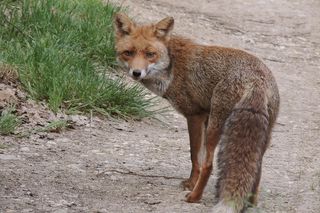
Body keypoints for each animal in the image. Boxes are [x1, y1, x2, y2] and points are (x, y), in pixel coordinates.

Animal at [114, 13, 278, 213]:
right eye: (128, 53)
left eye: (150, 54)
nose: (136, 73)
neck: (172, 65)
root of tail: (256, 80)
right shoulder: (205, 117)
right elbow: (198, 158)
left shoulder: (195, 116)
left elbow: (195, 158)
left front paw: (191, 184)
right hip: (262, 135)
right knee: (257, 169)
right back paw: (250, 204)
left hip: (216, 127)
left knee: (209, 165)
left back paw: (194, 197)